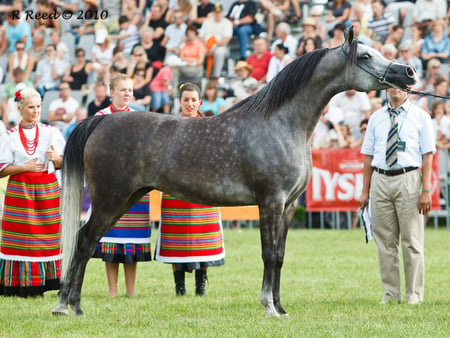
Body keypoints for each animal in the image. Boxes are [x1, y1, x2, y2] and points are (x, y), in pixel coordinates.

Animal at [51, 28, 414, 316]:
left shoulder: (288, 206)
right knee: (84, 241)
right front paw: (269, 307)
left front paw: (280, 307)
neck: (282, 123)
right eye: (366, 55)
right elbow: (268, 254)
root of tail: (101, 121)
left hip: (124, 199)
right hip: (111, 199)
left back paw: (74, 305)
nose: (408, 72)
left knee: (87, 242)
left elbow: (280, 256)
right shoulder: (270, 202)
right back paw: (65, 306)